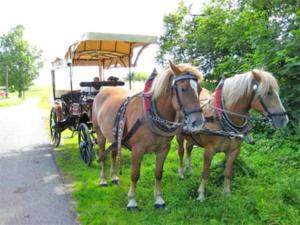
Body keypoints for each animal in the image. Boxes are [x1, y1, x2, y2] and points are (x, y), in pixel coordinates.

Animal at [93, 61, 206, 209]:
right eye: (183, 89)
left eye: (199, 89)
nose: (198, 122)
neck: (150, 115)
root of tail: (102, 91)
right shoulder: (138, 150)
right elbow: (135, 174)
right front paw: (132, 201)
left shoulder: (164, 149)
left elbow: (158, 173)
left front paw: (158, 199)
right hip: (100, 133)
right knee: (102, 155)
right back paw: (103, 180)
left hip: (114, 136)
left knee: (112, 153)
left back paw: (114, 177)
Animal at [177, 69, 290, 201]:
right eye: (268, 92)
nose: (284, 120)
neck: (221, 117)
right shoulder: (209, 151)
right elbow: (205, 172)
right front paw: (201, 194)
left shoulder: (233, 151)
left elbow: (228, 172)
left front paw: (227, 193)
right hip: (179, 136)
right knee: (181, 152)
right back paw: (181, 173)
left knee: (189, 148)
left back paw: (189, 169)